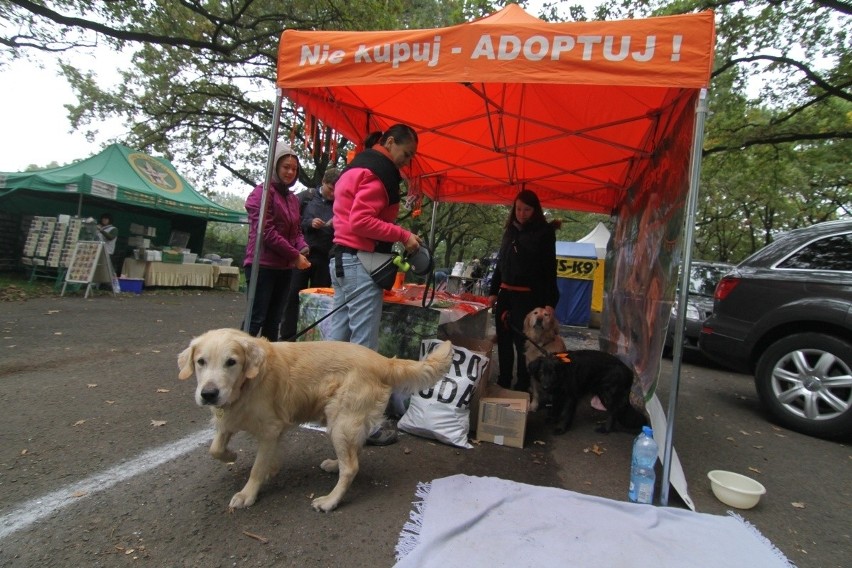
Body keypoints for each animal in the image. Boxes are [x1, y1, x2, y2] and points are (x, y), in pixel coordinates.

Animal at [178, 326, 452, 512]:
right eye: (201, 361)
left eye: (231, 362)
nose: (209, 394)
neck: (246, 384)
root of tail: (382, 360)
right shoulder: (233, 420)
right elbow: (216, 448)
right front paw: (234, 456)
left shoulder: (270, 429)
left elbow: (256, 468)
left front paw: (248, 494)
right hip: (346, 424)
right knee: (354, 452)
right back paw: (335, 464)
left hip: (340, 422)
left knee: (352, 467)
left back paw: (330, 501)